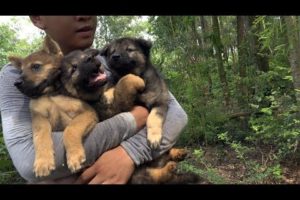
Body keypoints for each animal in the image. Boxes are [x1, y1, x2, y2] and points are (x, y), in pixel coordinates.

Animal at [8, 36, 98, 177]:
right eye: (20, 72)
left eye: (36, 66)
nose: (16, 83)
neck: (50, 94)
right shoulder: (39, 118)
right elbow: (41, 138)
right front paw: (43, 162)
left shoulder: (88, 113)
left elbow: (71, 130)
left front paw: (74, 156)